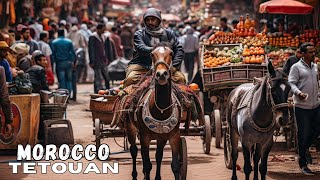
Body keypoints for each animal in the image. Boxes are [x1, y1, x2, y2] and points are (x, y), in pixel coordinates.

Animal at [125, 42, 184, 180]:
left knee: (157, 156)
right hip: (131, 128)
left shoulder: (173, 135)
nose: (161, 74)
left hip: (160, 136)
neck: (161, 109)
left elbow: (173, 165)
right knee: (134, 151)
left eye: (171, 53)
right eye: (152, 54)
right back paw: (135, 175)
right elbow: (147, 165)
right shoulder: (145, 136)